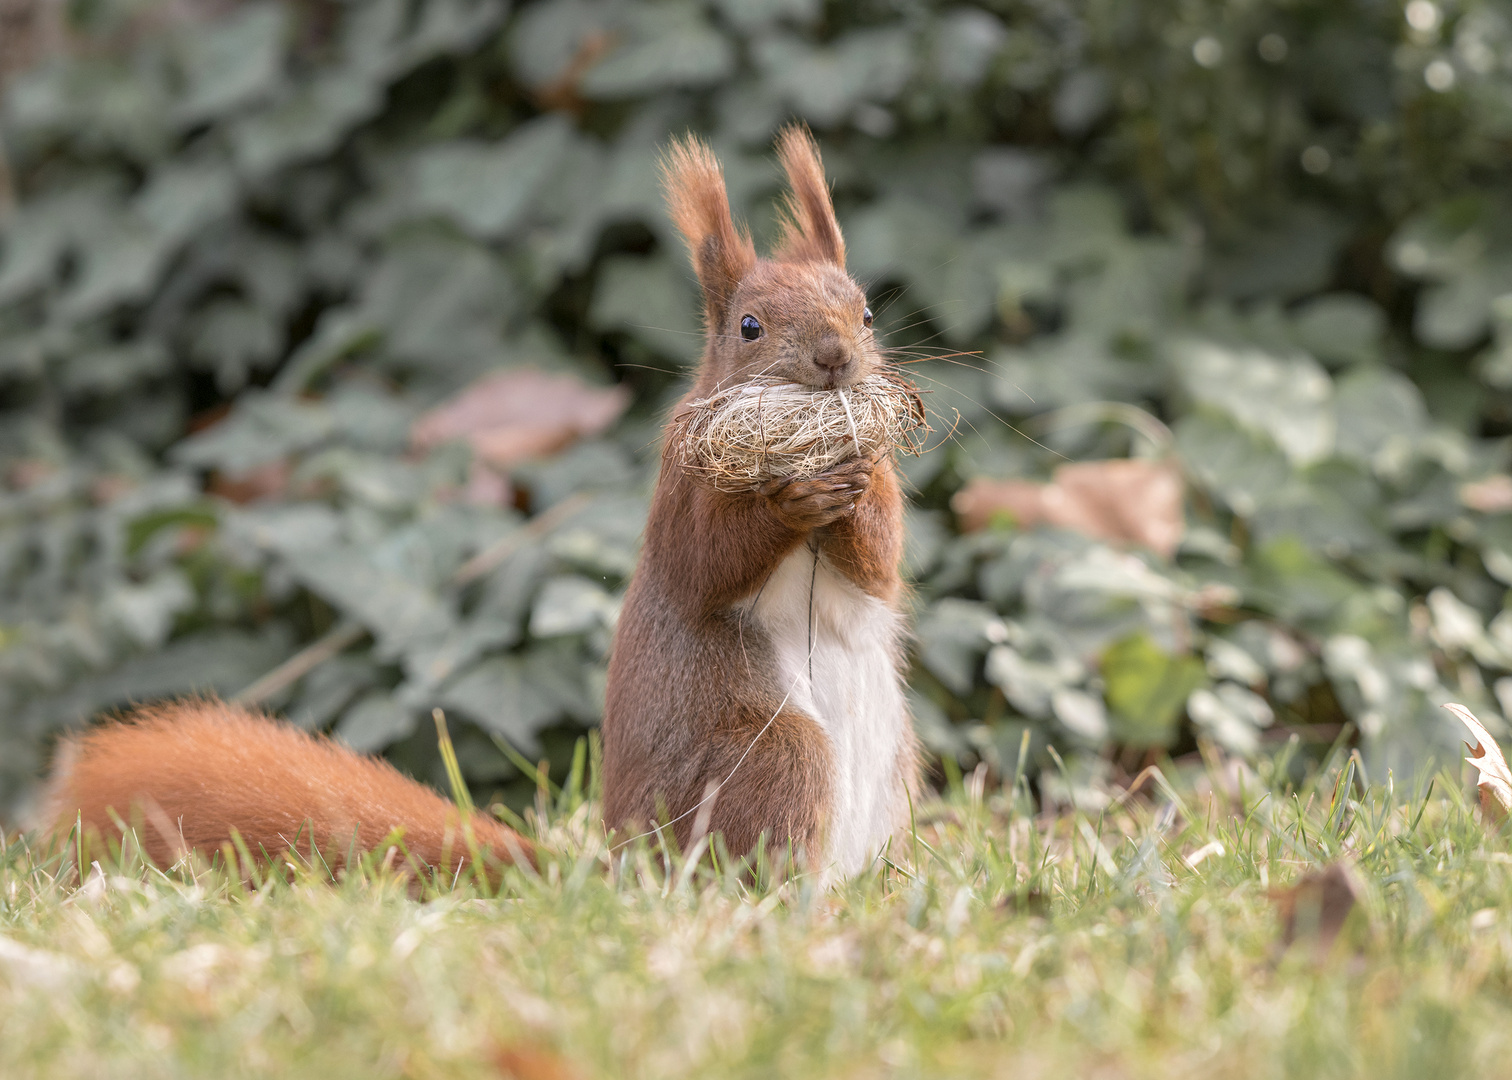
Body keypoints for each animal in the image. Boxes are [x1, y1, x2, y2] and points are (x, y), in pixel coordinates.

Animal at [601, 130, 919, 877]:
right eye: (750, 327)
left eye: (867, 314)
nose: (834, 356)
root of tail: (623, 859)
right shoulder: (679, 484)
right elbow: (701, 565)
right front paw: (789, 503)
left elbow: (881, 562)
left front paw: (851, 488)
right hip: (769, 757)